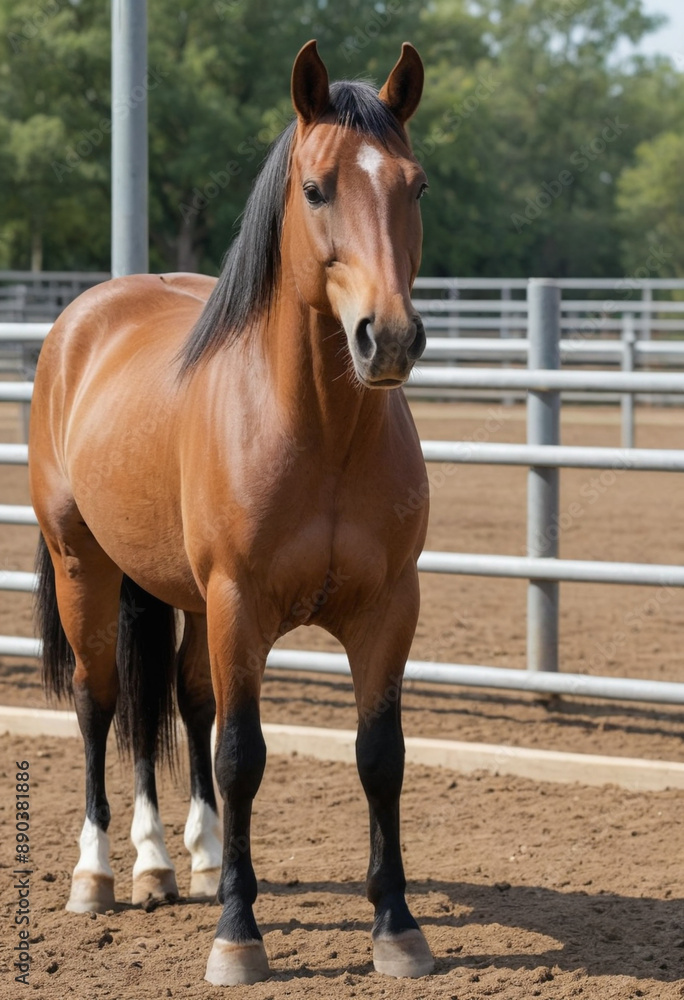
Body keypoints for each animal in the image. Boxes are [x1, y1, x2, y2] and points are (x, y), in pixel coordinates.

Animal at [28, 39, 432, 986]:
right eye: (316, 188)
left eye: (417, 185)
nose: (389, 338)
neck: (319, 431)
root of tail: (82, 320)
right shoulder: (239, 604)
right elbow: (243, 753)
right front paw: (239, 938)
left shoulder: (389, 608)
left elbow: (380, 757)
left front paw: (397, 927)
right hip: (86, 568)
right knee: (102, 703)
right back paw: (103, 875)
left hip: (168, 591)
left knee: (171, 700)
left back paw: (181, 861)